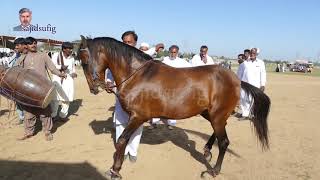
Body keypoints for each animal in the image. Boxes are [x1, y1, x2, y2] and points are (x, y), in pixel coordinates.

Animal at [77, 35, 270, 179]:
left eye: (84, 60)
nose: (93, 88)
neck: (137, 75)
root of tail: (236, 79)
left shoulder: (138, 116)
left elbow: (122, 140)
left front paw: (115, 170)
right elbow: (124, 140)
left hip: (217, 115)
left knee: (224, 142)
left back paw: (213, 171)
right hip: (210, 113)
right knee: (220, 130)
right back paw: (207, 150)